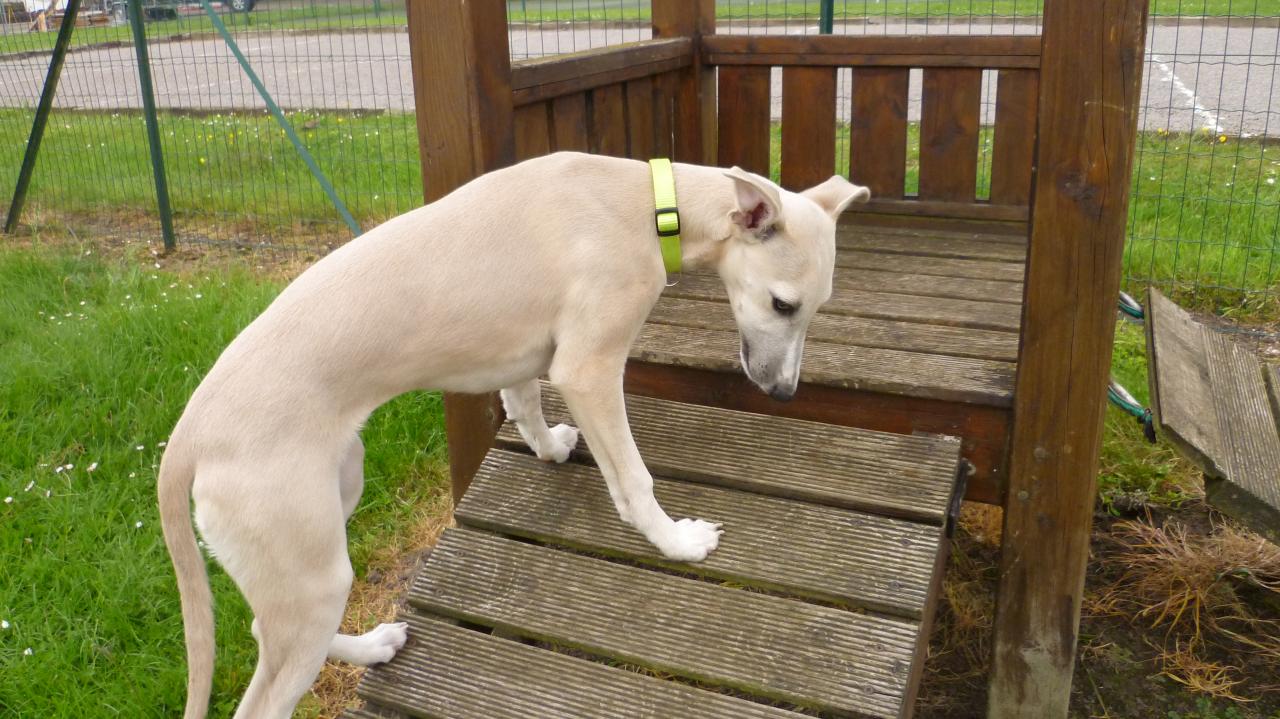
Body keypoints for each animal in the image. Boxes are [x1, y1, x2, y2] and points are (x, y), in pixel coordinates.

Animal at [154, 148, 865, 711]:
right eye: (783, 304)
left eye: (815, 309)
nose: (784, 393)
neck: (648, 202)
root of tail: (187, 438)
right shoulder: (587, 368)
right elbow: (633, 480)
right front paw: (677, 542)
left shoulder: (528, 358)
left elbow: (525, 407)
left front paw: (550, 449)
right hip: (310, 568)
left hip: (331, 507)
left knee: (259, 630)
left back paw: (375, 647)